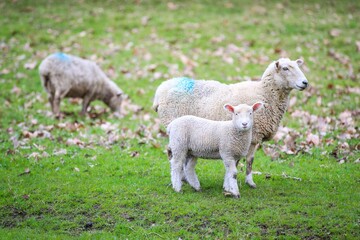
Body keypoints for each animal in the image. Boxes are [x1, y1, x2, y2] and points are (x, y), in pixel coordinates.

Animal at [153, 57, 308, 188]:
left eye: (297, 66)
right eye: (285, 68)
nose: (305, 83)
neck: (265, 94)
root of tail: (160, 91)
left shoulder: (252, 138)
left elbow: (249, 160)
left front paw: (244, 182)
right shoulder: (251, 136)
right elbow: (245, 161)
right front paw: (244, 182)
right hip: (174, 126)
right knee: (172, 154)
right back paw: (180, 179)